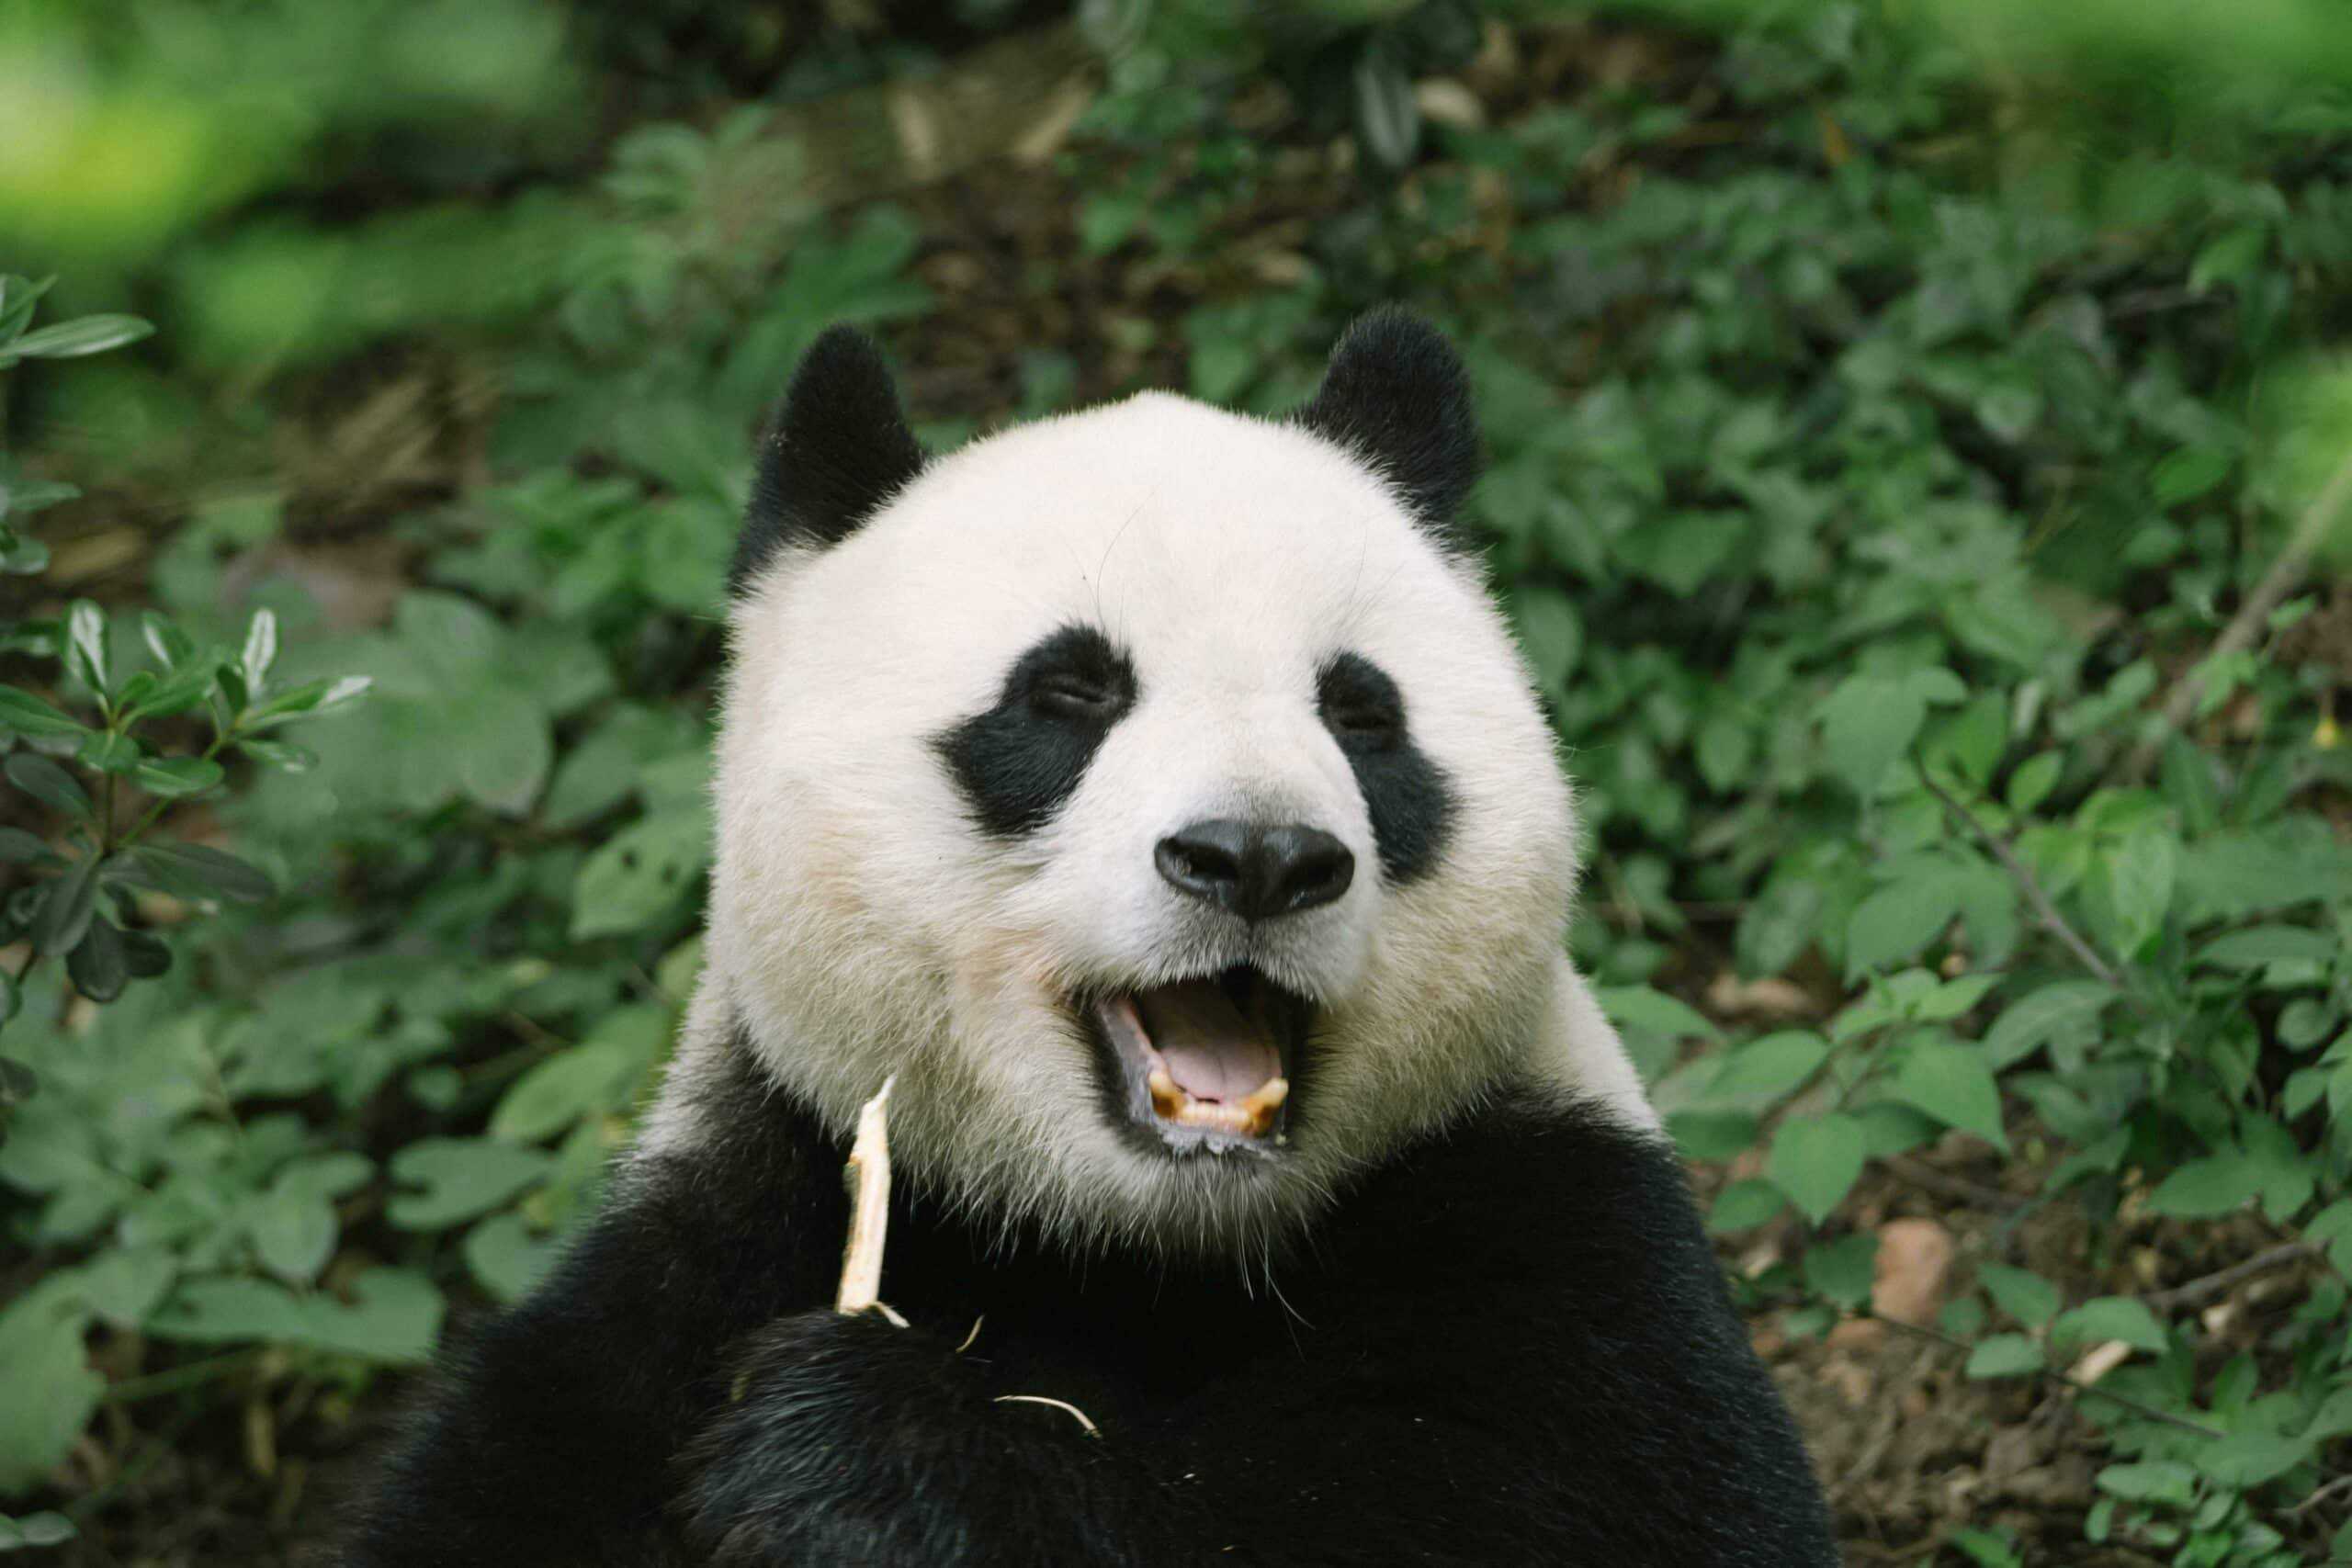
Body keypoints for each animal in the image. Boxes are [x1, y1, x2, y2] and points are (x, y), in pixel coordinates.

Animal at [341, 310, 1834, 1568]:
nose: (1258, 856)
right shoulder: (715, 1237)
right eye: (1068, 693)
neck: (1138, 1247)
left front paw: (865, 1454)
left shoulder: (1557, 1242)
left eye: (1361, 713)